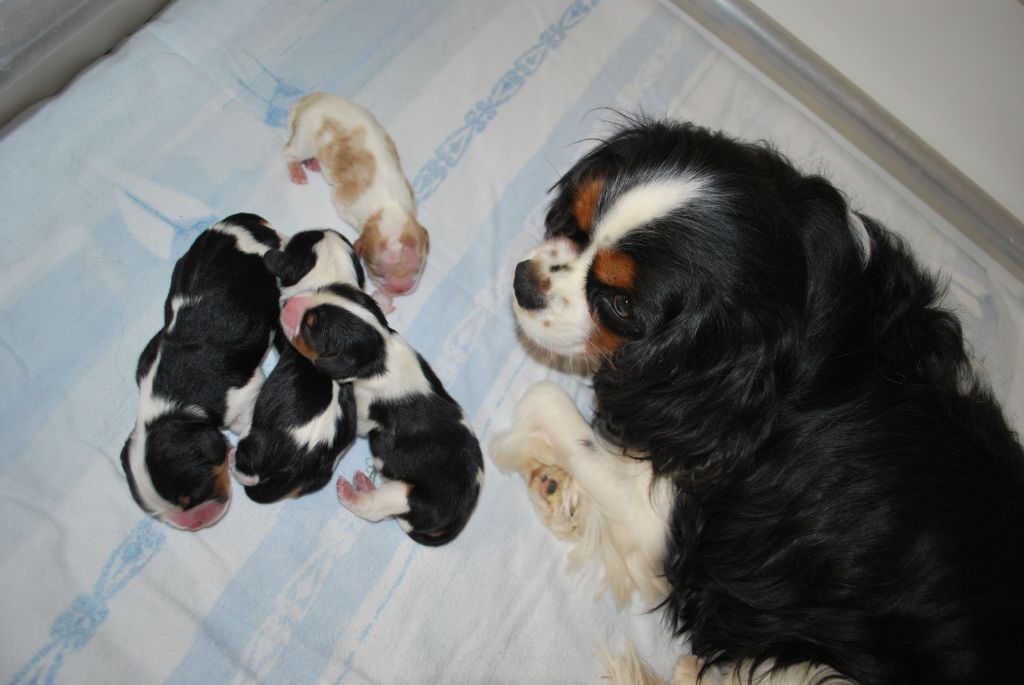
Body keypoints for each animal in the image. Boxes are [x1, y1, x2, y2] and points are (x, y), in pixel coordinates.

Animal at [120, 211, 280, 528]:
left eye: (193, 493)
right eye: (157, 515)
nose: (192, 525)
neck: (168, 407)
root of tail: (239, 222)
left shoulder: (241, 391)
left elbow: (243, 418)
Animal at [276, 282, 483, 544]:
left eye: (310, 327)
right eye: (325, 288)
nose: (285, 303)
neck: (381, 355)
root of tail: (457, 522)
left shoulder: (365, 415)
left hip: (406, 495)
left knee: (374, 510)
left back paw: (351, 493)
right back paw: (364, 484)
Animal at [284, 92, 428, 311]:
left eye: (419, 267)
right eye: (377, 271)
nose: (400, 290)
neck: (389, 208)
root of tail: (309, 100)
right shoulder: (346, 205)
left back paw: (314, 164)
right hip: (304, 139)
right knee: (289, 152)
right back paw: (297, 171)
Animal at [491, 118, 1019, 683]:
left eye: (621, 303)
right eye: (577, 224)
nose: (524, 282)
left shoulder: (672, 525)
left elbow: (547, 401)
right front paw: (556, 492)